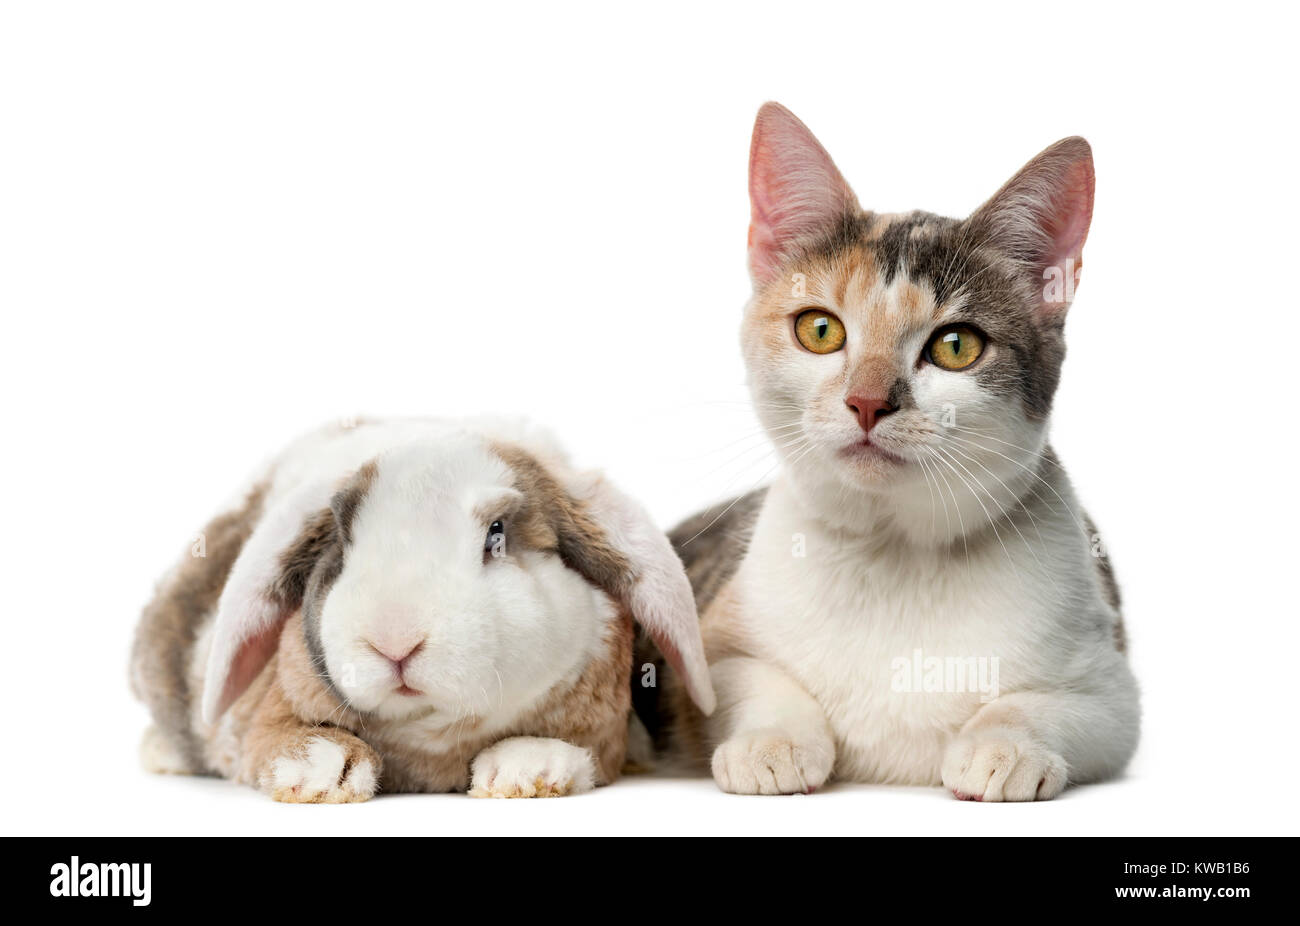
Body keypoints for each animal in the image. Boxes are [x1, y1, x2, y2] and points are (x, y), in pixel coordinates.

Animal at [130, 417, 715, 801]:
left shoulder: (604, 737)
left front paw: (526, 768)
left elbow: (577, 750)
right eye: (341, 542)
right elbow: (271, 738)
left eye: (497, 535)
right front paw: (321, 767)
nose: (394, 641)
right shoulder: (257, 723)